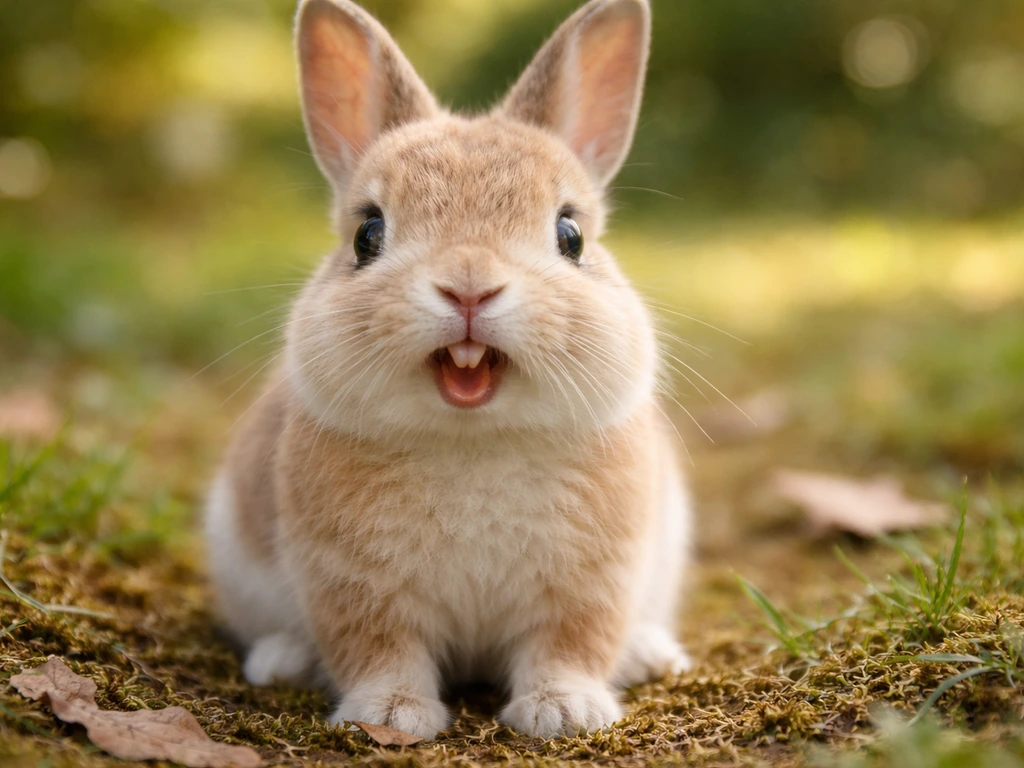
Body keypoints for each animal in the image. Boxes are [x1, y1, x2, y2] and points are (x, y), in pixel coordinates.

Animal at [205, 0, 693, 740]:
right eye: (367, 235)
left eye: (571, 236)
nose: (469, 286)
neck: (473, 437)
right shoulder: (352, 586)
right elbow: (378, 649)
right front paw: (393, 715)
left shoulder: (591, 583)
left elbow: (571, 644)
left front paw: (564, 712)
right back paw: (282, 661)